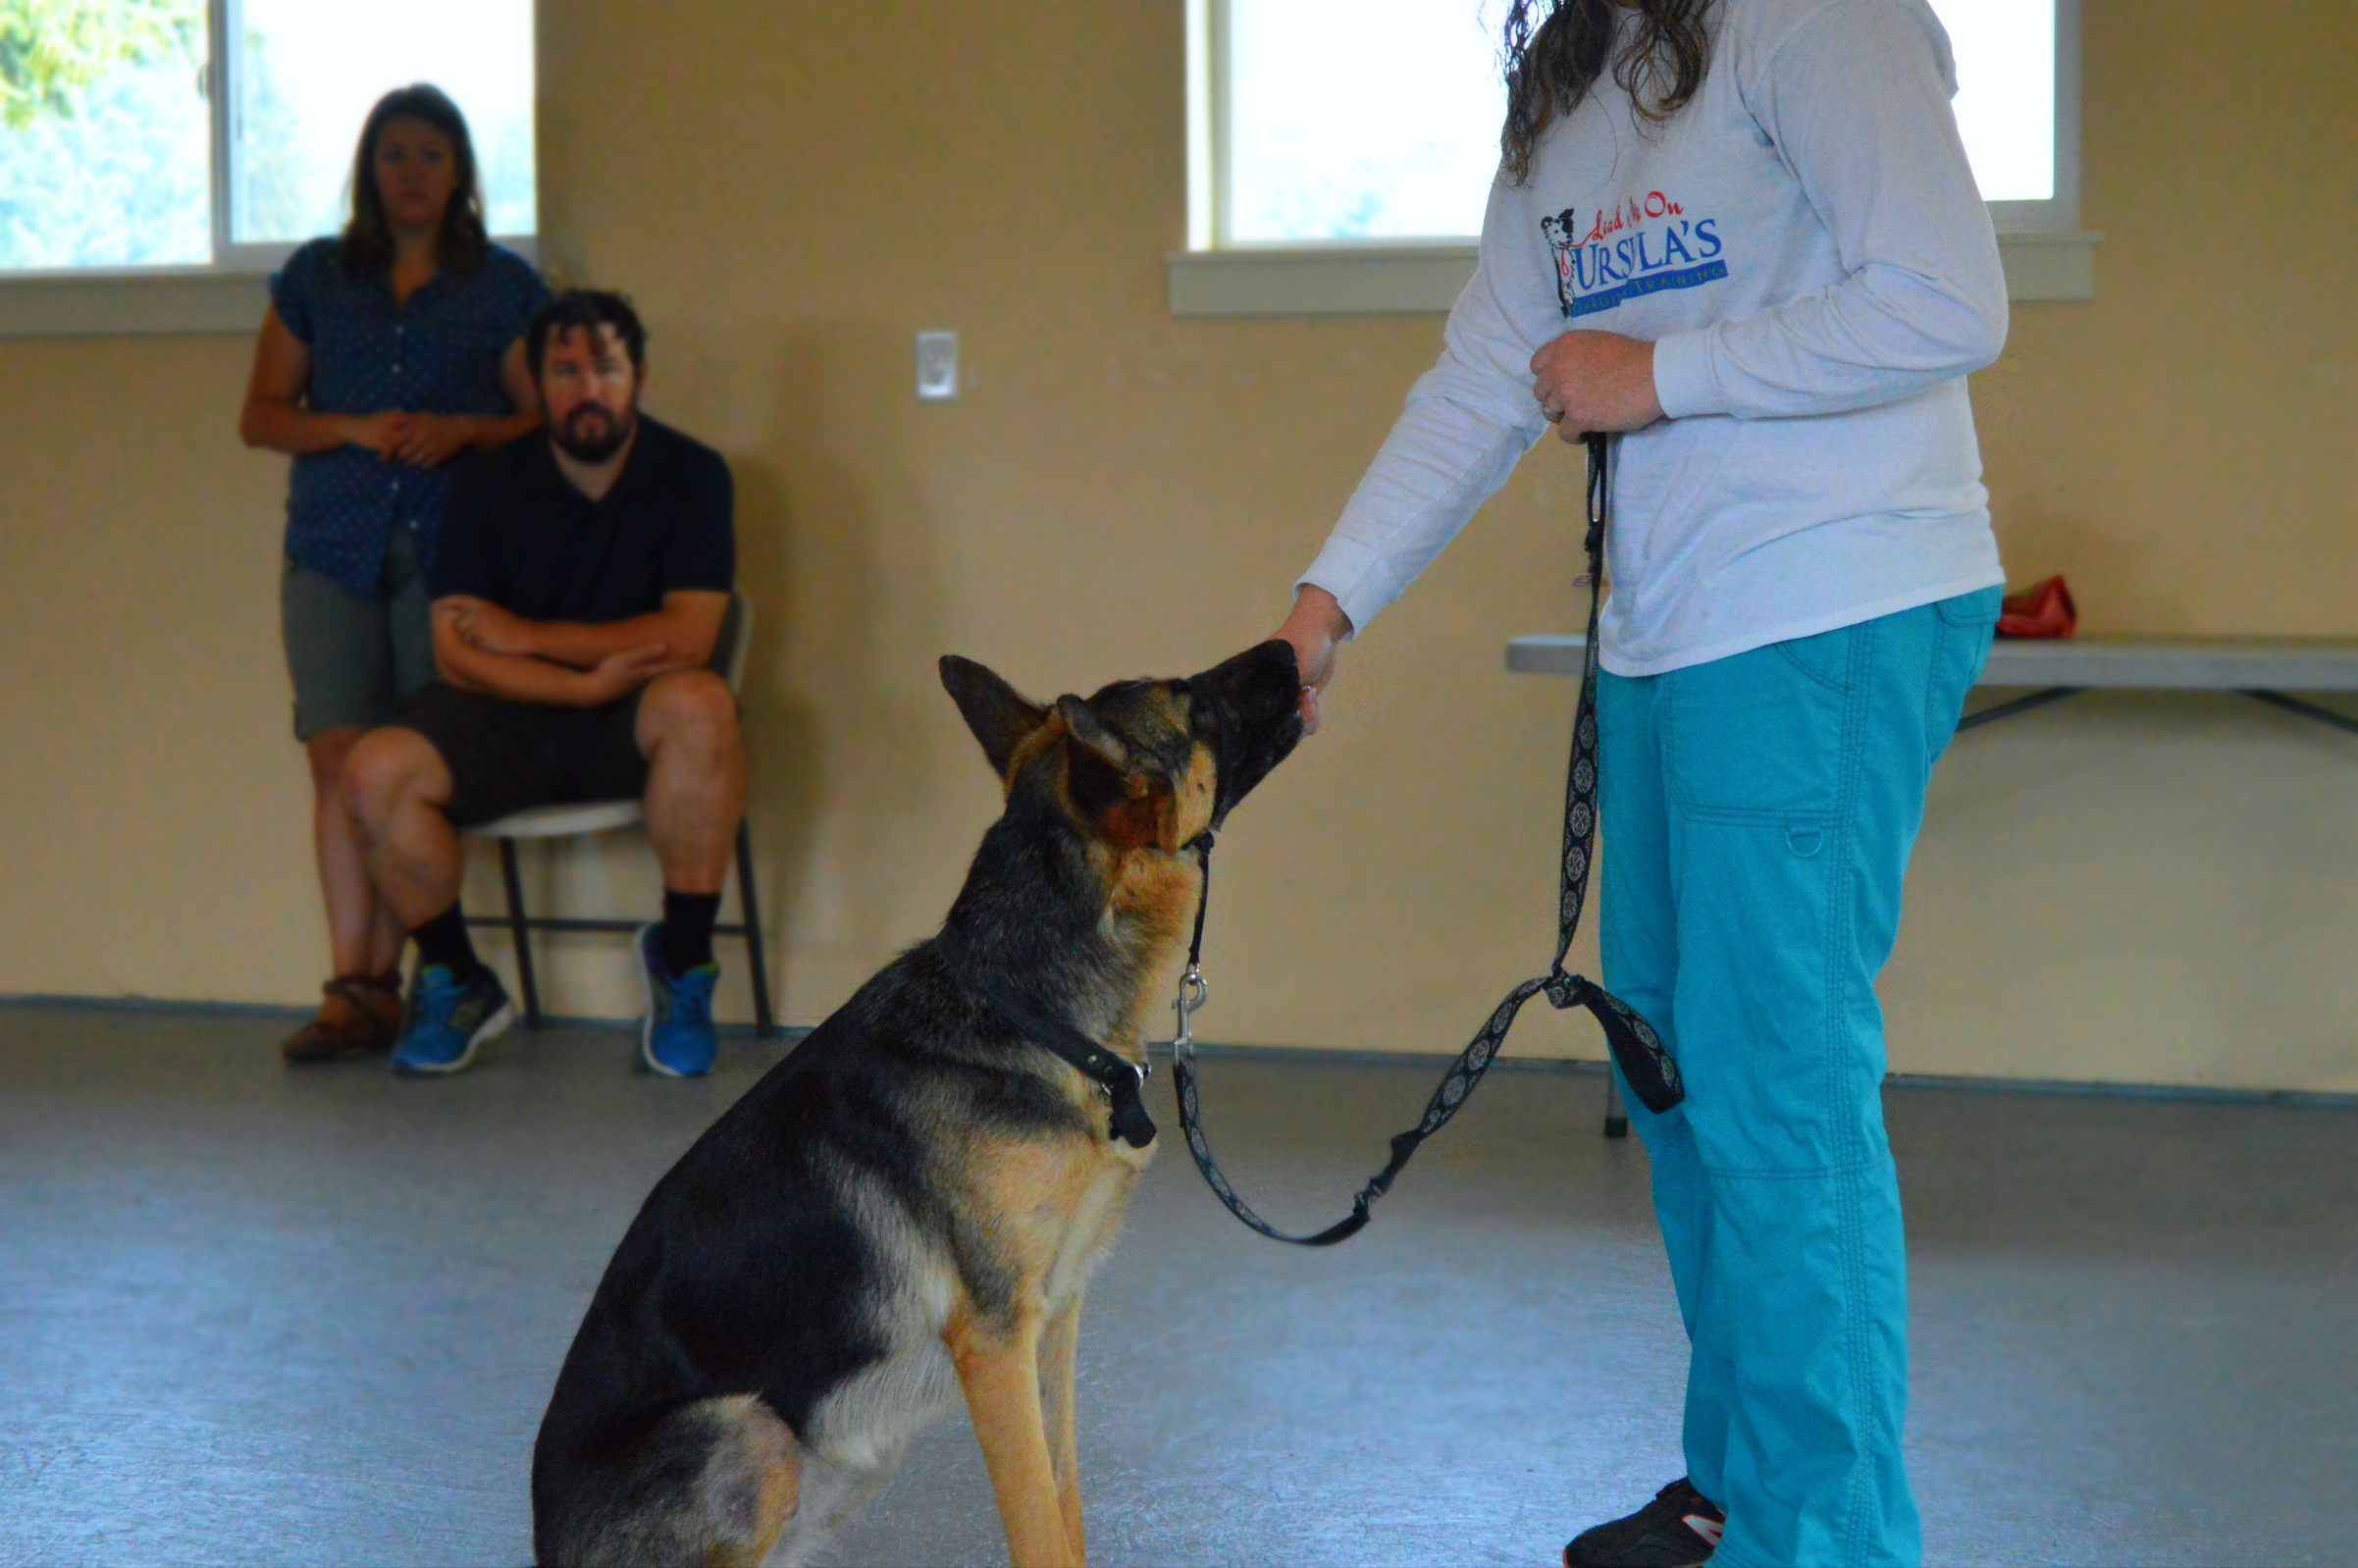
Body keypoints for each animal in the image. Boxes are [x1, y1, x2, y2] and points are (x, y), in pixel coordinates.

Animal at [535, 641, 1301, 1565]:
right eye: (1194, 702)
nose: (1291, 646)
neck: (1027, 1014)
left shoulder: (1054, 1325)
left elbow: (1064, 1504)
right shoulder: (997, 1342)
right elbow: (1036, 1522)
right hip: (751, 1434)